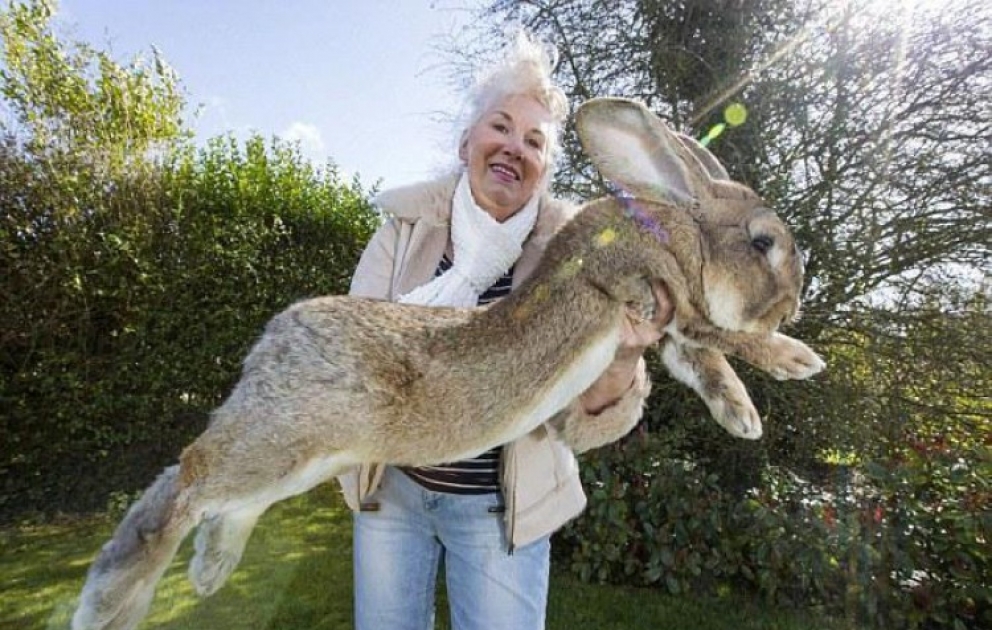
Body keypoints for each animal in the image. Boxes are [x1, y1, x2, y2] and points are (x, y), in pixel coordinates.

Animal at [72, 97, 824, 630]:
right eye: (764, 243)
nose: (793, 305)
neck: (676, 228)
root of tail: (270, 343)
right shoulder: (655, 292)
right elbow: (721, 336)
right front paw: (796, 359)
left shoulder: (667, 329)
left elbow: (704, 362)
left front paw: (744, 416)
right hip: (282, 440)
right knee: (187, 479)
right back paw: (109, 602)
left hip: (301, 458)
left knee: (220, 499)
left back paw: (207, 571)